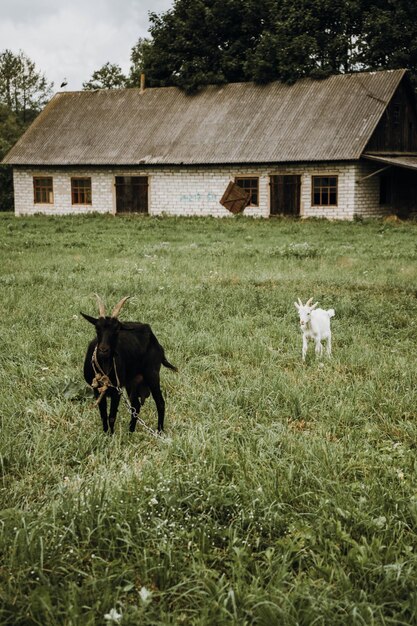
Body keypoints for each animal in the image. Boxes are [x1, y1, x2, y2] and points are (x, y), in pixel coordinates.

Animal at [81, 294, 177, 432]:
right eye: (97, 328)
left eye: (116, 330)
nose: (104, 350)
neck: (105, 366)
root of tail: (155, 340)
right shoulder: (97, 390)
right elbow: (103, 415)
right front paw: (105, 433)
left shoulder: (117, 390)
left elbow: (112, 416)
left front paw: (111, 435)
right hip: (133, 381)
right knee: (136, 405)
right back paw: (130, 431)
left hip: (152, 374)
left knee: (160, 402)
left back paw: (159, 431)